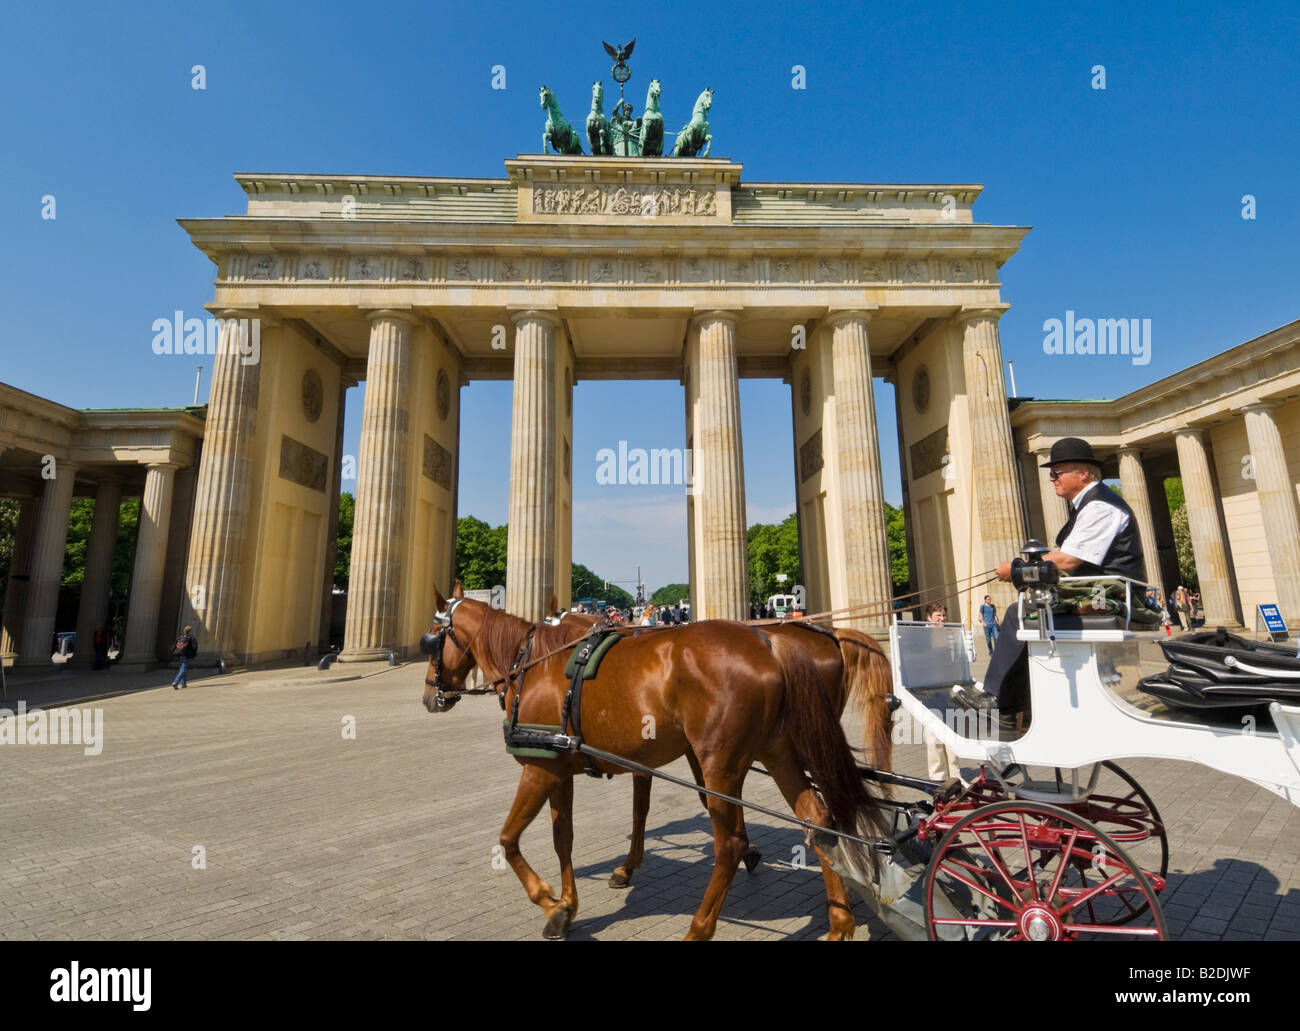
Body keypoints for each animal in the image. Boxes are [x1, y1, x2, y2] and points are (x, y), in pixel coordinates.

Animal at [421, 582, 889, 936]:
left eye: (431, 638)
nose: (430, 697)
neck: (534, 666)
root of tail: (770, 642)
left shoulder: (540, 769)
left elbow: (509, 839)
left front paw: (551, 903)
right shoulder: (560, 766)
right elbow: (564, 837)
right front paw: (568, 903)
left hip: (723, 760)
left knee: (730, 843)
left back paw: (699, 927)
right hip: (777, 752)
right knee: (817, 819)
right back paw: (840, 923)